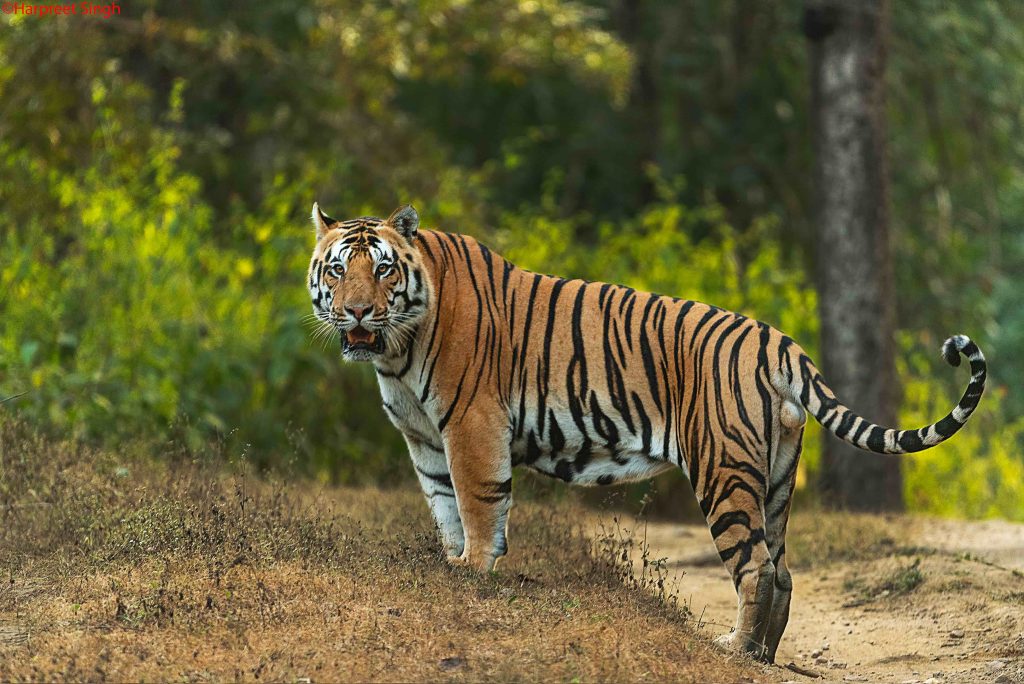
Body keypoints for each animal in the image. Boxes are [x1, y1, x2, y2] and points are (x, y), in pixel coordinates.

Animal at [303, 202, 983, 663]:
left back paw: (733, 650)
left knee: (757, 568)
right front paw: (451, 568)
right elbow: (442, 504)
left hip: (722, 471)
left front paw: (473, 573)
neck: (396, 349)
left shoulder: (472, 425)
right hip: (777, 477)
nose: (358, 311)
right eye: (337, 272)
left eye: (383, 271)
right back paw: (763, 657)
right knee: (785, 570)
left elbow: (476, 505)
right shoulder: (425, 439)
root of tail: (777, 339)